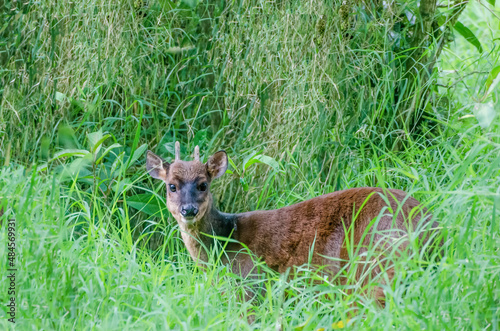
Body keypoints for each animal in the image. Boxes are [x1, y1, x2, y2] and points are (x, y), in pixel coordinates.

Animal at [146, 141, 440, 304]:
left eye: (203, 184)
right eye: (172, 186)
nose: (188, 209)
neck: (227, 242)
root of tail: (432, 228)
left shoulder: (250, 288)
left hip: (374, 266)